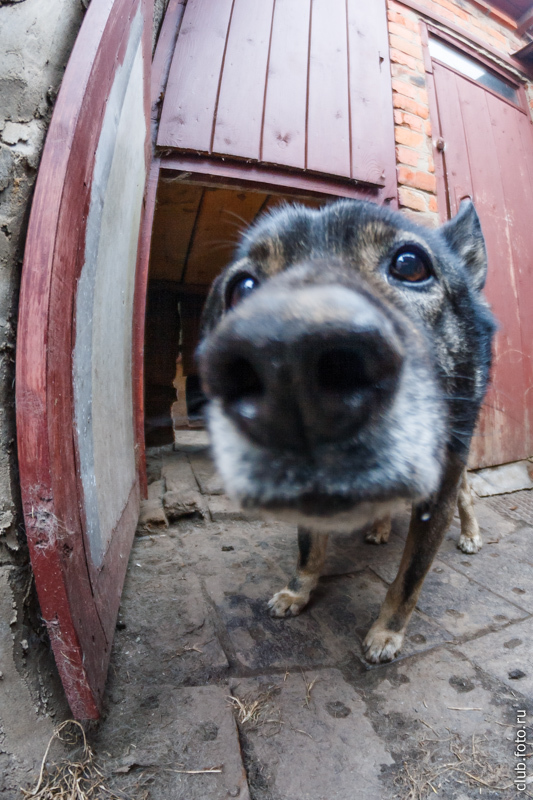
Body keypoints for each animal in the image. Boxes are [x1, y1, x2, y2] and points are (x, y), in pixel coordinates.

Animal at [195, 198, 494, 664]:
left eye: (410, 264)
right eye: (242, 288)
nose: (287, 364)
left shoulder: (439, 487)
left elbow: (409, 578)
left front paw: (387, 632)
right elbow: (308, 548)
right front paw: (297, 592)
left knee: (466, 493)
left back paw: (469, 534)